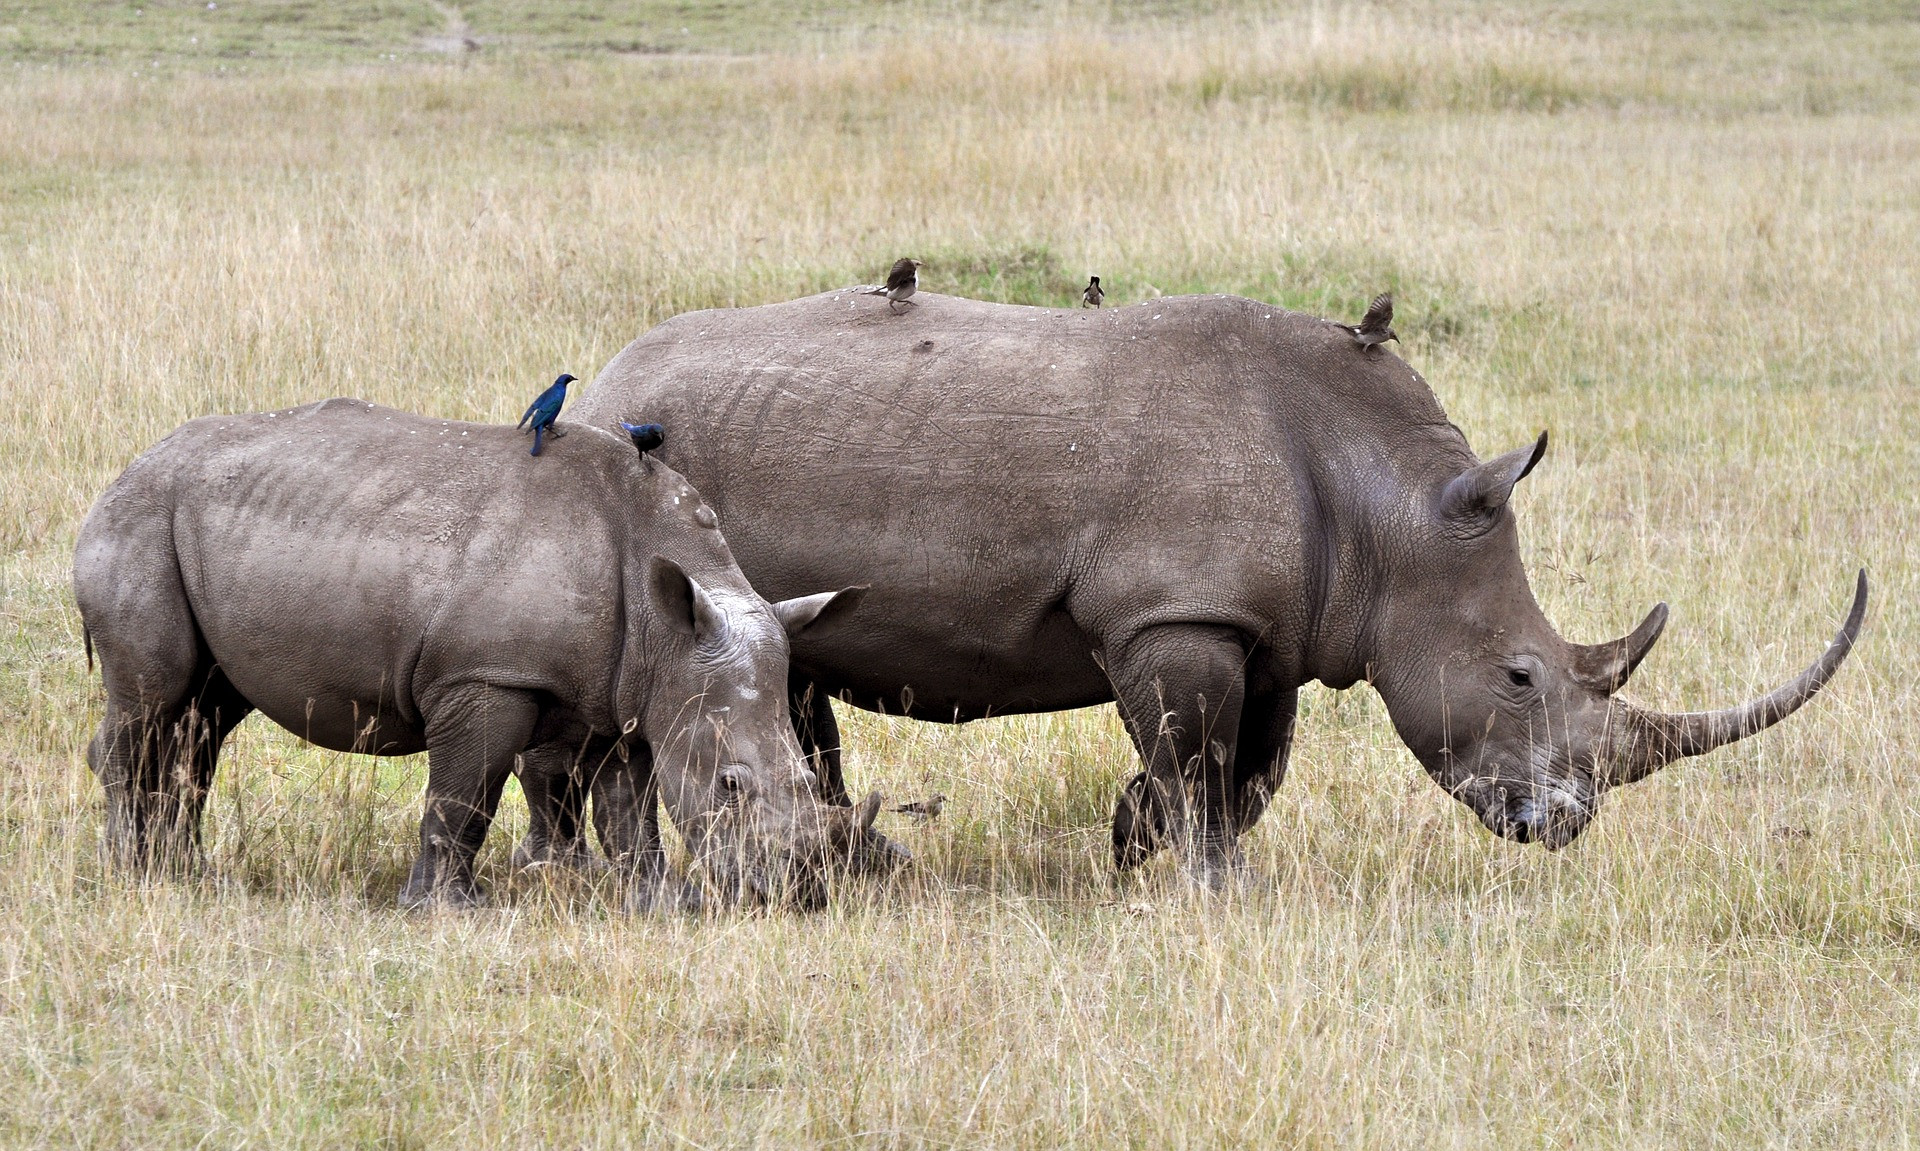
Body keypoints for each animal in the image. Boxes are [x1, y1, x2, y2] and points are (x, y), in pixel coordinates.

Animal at [72, 398, 874, 909]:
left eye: (808, 779)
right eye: (732, 784)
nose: (801, 895)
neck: (667, 620)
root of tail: (125, 468)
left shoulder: (635, 687)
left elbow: (630, 808)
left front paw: (662, 903)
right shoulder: (486, 675)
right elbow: (464, 796)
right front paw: (447, 909)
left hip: (194, 528)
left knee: (204, 713)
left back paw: (187, 874)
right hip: (140, 517)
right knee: (155, 696)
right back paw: (131, 875)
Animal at [555, 290, 1866, 888]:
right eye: (1519, 674)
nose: (1565, 823)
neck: (1391, 501)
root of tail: (599, 378)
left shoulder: (1272, 623)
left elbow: (1251, 765)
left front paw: (1149, 845)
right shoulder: (1174, 612)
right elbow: (1197, 753)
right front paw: (1188, 876)